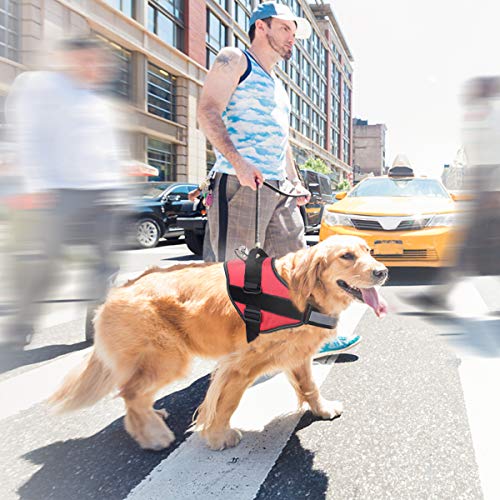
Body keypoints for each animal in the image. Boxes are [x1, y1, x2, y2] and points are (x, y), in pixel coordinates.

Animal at [49, 236, 386, 452]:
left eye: (369, 250)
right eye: (346, 256)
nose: (382, 271)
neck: (300, 295)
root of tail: (114, 293)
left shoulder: (296, 356)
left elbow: (309, 387)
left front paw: (322, 409)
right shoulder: (240, 364)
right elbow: (226, 402)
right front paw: (219, 436)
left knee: (135, 394)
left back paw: (151, 419)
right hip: (169, 357)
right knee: (130, 393)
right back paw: (153, 435)